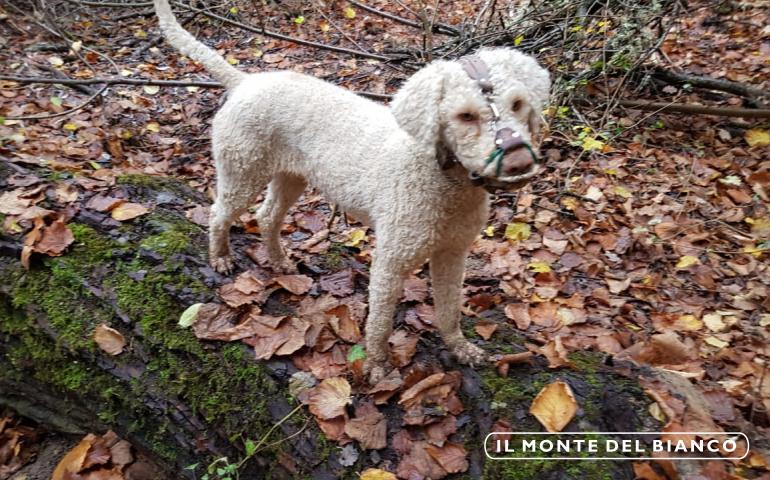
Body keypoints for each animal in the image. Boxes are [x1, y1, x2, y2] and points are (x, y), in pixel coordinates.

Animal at [153, 0, 544, 382]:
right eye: (465, 116)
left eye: (518, 104)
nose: (519, 161)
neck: (444, 182)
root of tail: (245, 81)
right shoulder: (392, 258)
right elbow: (380, 320)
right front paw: (377, 367)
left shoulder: (453, 251)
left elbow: (449, 308)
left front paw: (461, 348)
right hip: (242, 167)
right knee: (220, 212)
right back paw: (220, 256)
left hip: (291, 176)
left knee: (267, 216)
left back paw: (279, 261)